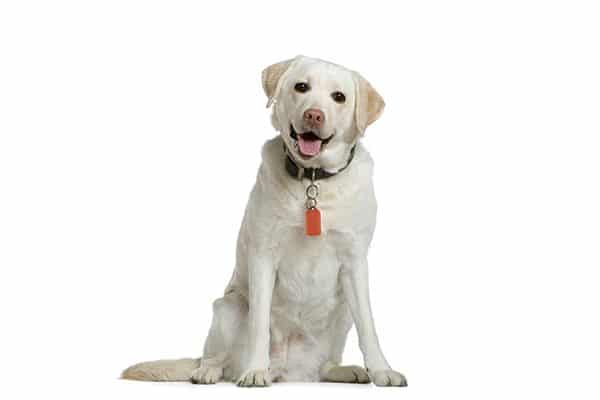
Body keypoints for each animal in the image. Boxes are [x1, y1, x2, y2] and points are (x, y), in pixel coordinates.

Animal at [120, 54, 408, 386]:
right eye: (301, 87)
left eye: (339, 97)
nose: (313, 115)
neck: (313, 181)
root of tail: (289, 371)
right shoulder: (263, 255)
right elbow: (259, 324)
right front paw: (255, 370)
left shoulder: (355, 261)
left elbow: (368, 326)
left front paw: (381, 369)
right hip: (228, 307)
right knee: (215, 357)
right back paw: (211, 371)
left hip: (341, 313)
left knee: (325, 364)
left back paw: (344, 370)